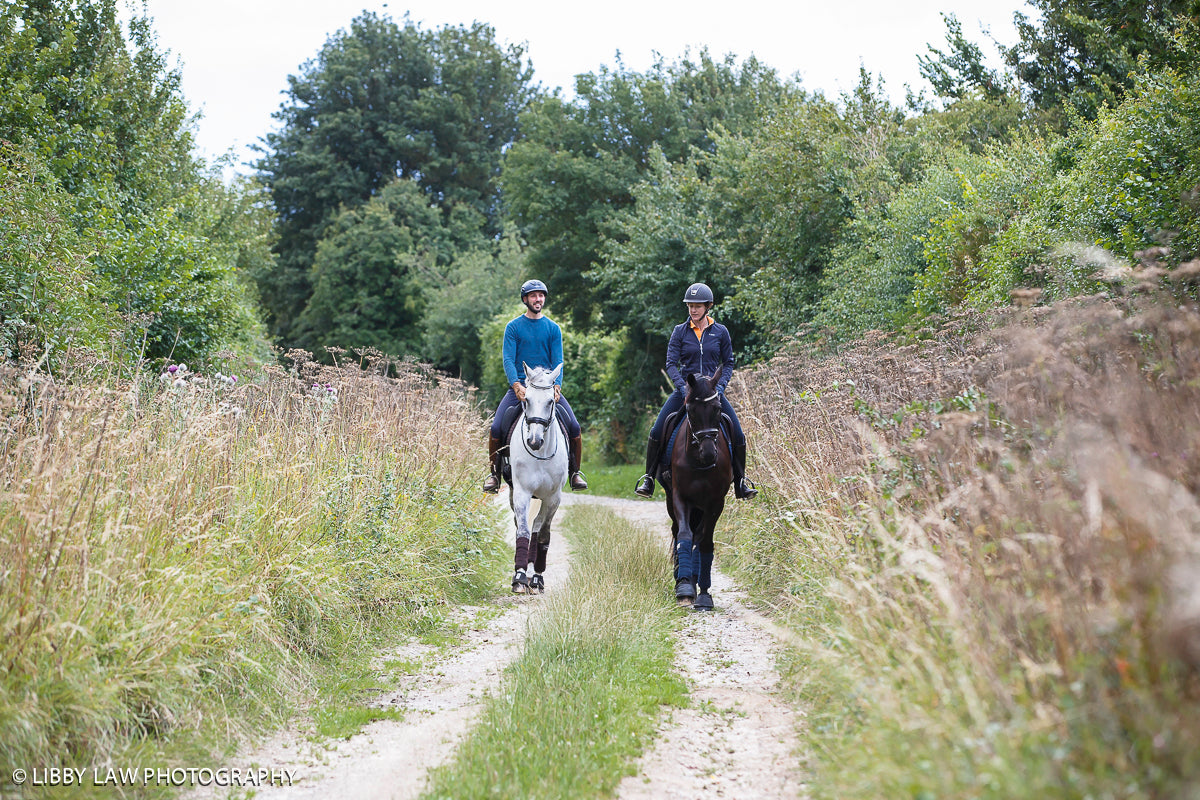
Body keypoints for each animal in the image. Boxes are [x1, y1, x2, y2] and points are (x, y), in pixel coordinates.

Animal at [503, 363, 569, 594]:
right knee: (523, 525)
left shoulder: (554, 498)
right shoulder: (522, 492)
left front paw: (537, 578)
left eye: (550, 401)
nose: (533, 441)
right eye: (527, 399)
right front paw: (520, 576)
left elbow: (543, 535)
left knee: (538, 526)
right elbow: (522, 530)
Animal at [663, 369, 732, 609]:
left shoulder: (715, 502)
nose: (709, 453)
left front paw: (702, 593)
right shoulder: (680, 497)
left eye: (717, 409)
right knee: (679, 531)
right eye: (691, 411)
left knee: (698, 536)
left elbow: (704, 542)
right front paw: (684, 587)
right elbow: (684, 534)